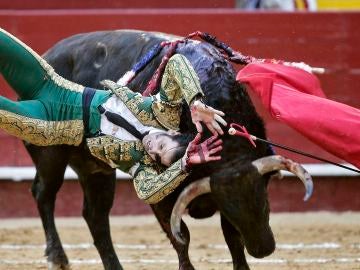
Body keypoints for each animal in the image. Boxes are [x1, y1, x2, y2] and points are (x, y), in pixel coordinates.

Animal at [26, 29, 312, 270]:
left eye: (265, 203)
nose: (263, 249)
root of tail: (48, 55)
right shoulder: (162, 199)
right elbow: (181, 236)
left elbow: (232, 238)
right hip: (50, 155)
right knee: (44, 193)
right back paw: (57, 256)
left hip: (96, 171)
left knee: (96, 217)